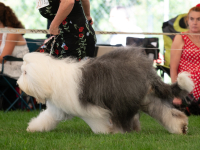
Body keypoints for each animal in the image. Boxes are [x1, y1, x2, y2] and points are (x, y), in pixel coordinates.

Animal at [16, 47, 194, 134]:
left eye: (24, 73)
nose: (18, 83)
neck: (51, 78)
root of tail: (148, 69)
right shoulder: (57, 108)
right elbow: (46, 118)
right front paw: (34, 128)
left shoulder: (90, 109)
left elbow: (96, 120)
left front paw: (103, 132)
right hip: (148, 98)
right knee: (166, 112)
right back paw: (180, 127)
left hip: (122, 99)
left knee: (123, 119)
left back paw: (118, 132)